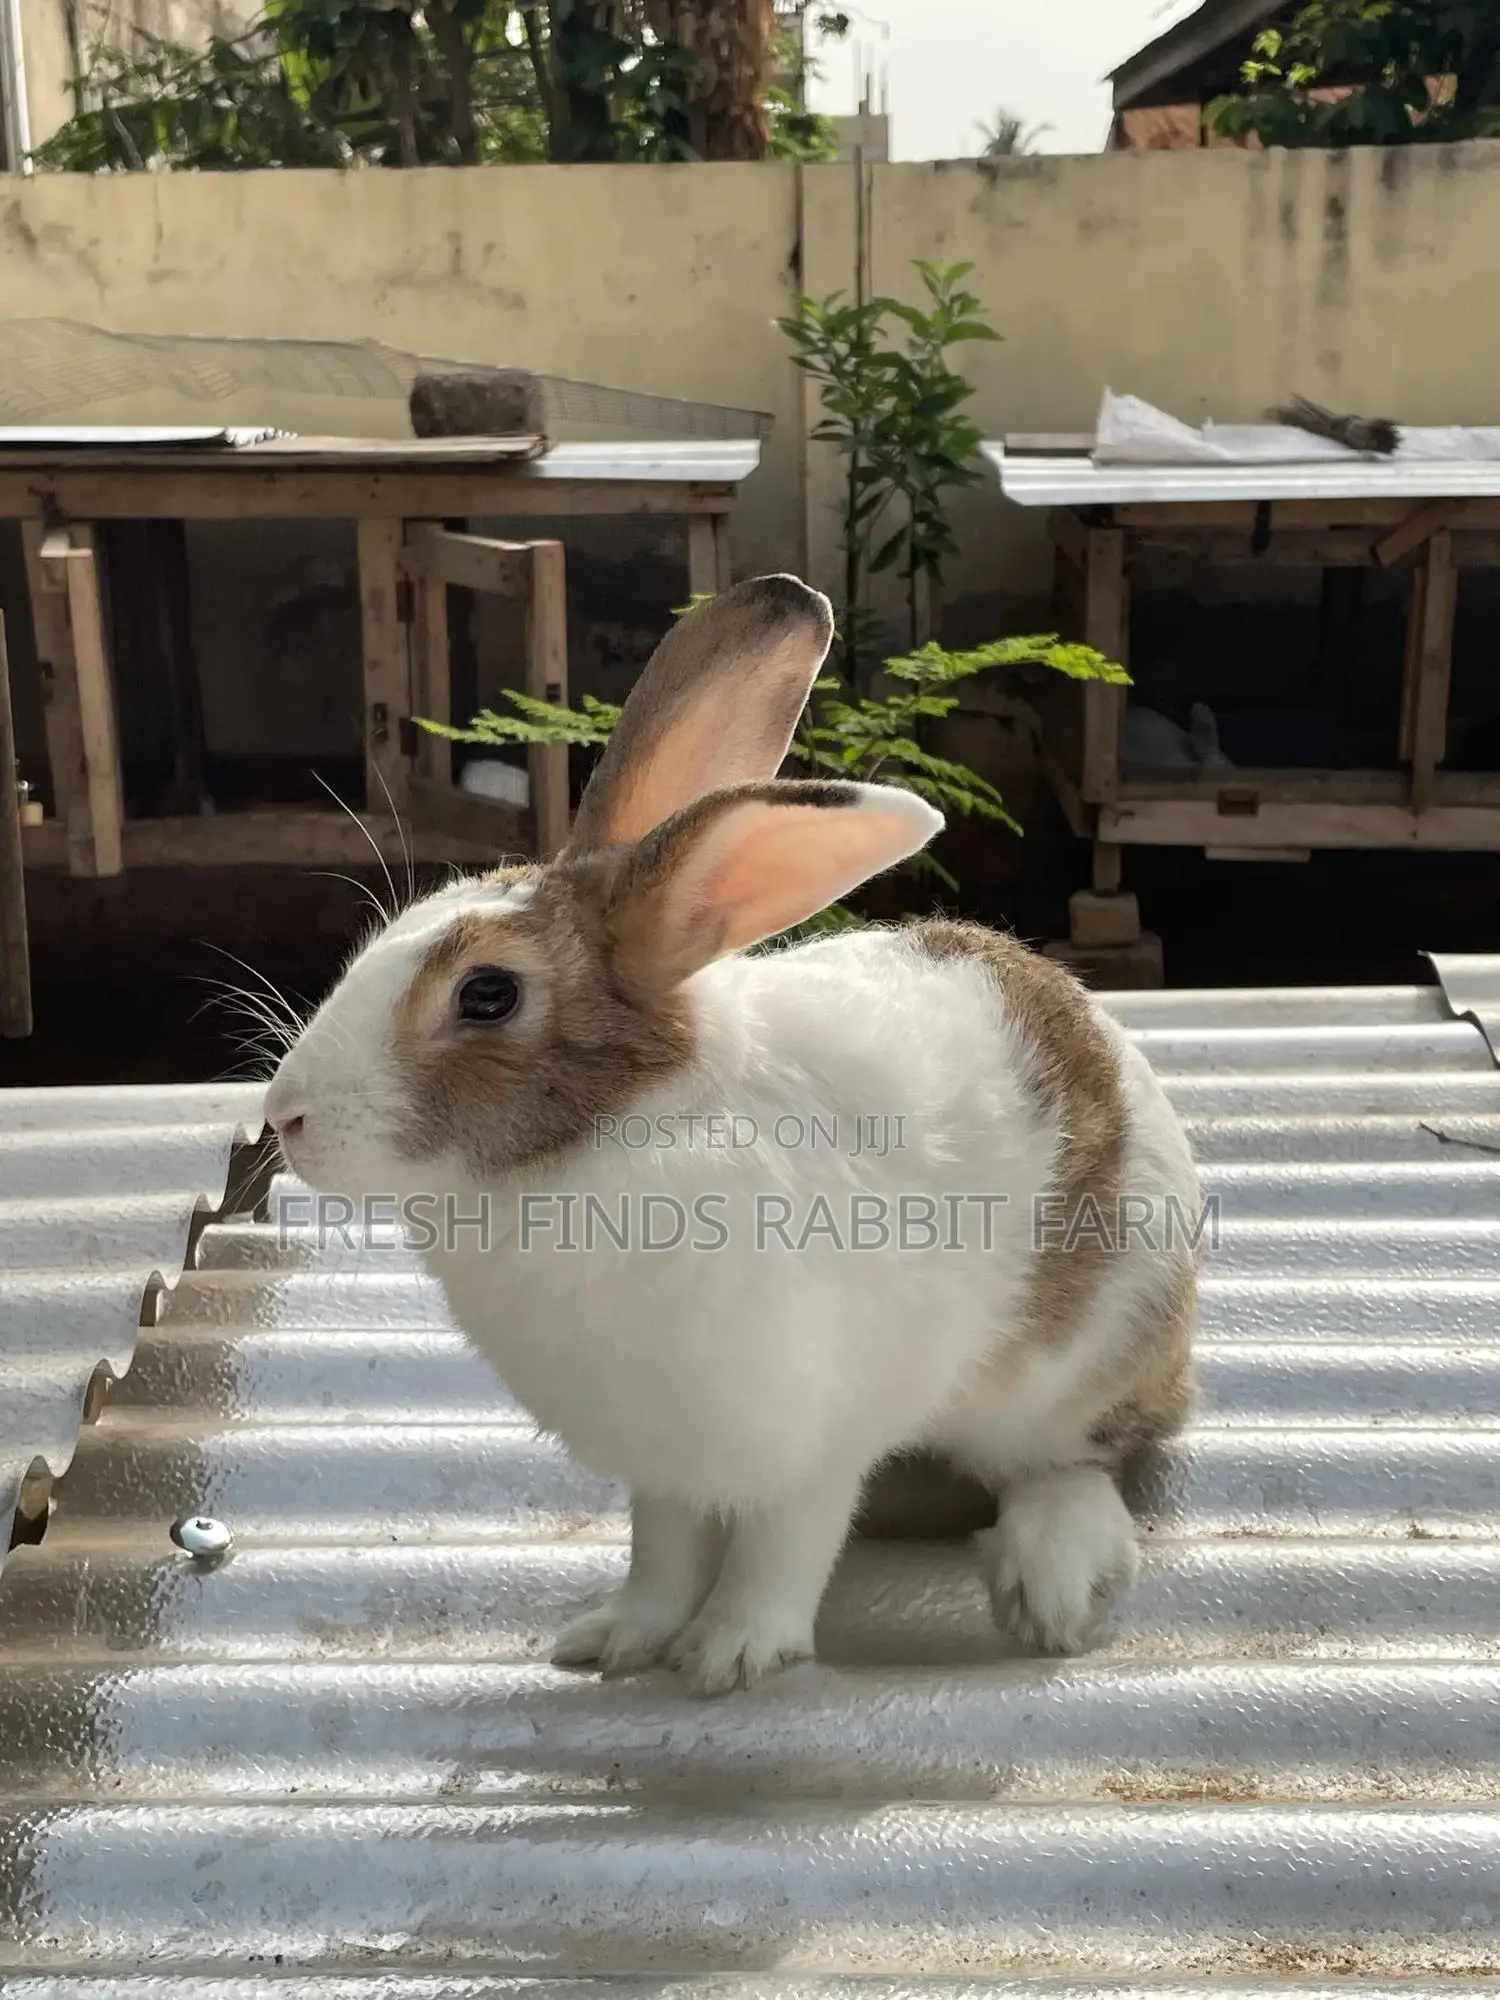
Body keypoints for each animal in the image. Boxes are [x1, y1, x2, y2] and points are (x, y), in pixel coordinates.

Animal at [265, 574, 1200, 1697]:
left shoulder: (810, 1437)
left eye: (487, 993)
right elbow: (663, 1552)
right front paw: (619, 1640)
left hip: (1088, 1354)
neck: (611, 1136)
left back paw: (1047, 1579)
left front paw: (732, 1655)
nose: (283, 1115)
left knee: (1079, 1458)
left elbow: (783, 1547)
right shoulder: (663, 1461)